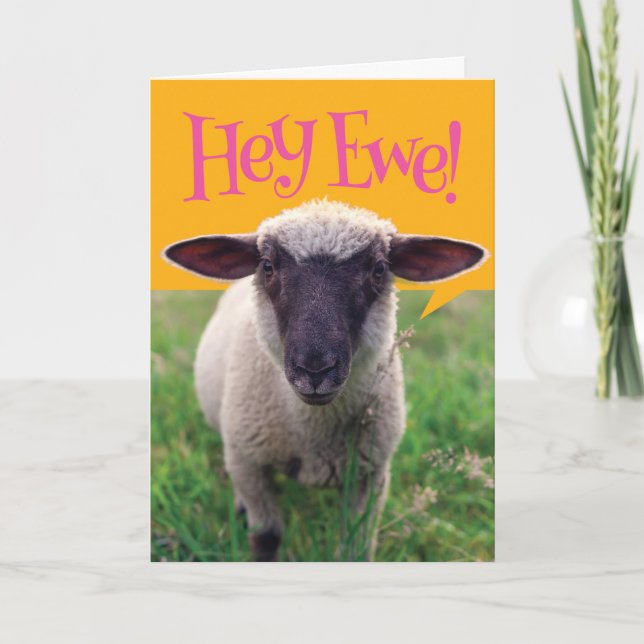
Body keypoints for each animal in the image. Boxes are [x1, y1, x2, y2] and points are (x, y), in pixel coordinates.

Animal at [163, 199, 488, 561]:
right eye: (267, 266)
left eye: (378, 269)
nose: (315, 369)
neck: (314, 431)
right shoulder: (248, 463)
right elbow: (266, 537)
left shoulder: (371, 475)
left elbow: (357, 546)